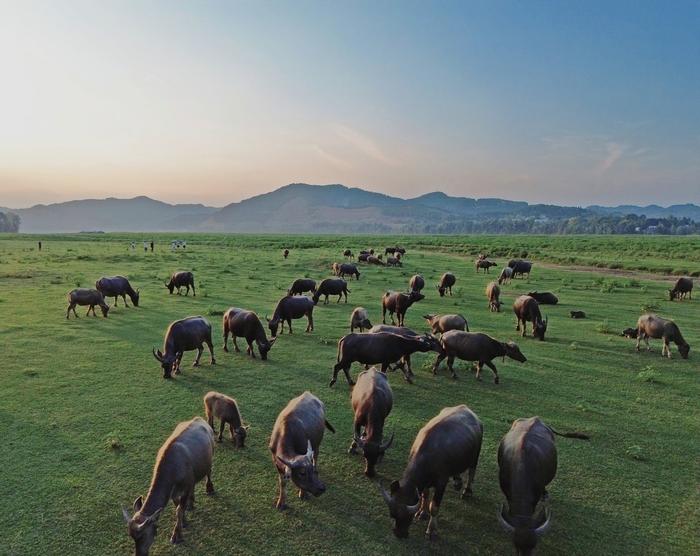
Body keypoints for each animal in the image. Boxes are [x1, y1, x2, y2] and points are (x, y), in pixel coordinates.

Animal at [123, 416, 215, 552]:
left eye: (143, 535)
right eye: (132, 536)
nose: (140, 553)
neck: (173, 468)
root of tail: (199, 419)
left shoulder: (185, 488)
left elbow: (178, 510)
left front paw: (177, 535)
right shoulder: (173, 493)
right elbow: (178, 507)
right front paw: (184, 521)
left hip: (210, 457)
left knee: (208, 472)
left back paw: (209, 488)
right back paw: (191, 503)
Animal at [380, 404, 484, 540]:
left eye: (407, 516)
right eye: (392, 514)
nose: (399, 533)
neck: (428, 455)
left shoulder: (441, 482)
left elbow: (434, 507)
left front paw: (431, 530)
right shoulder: (424, 482)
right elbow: (425, 494)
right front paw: (422, 513)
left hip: (475, 457)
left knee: (472, 472)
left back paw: (467, 491)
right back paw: (457, 482)